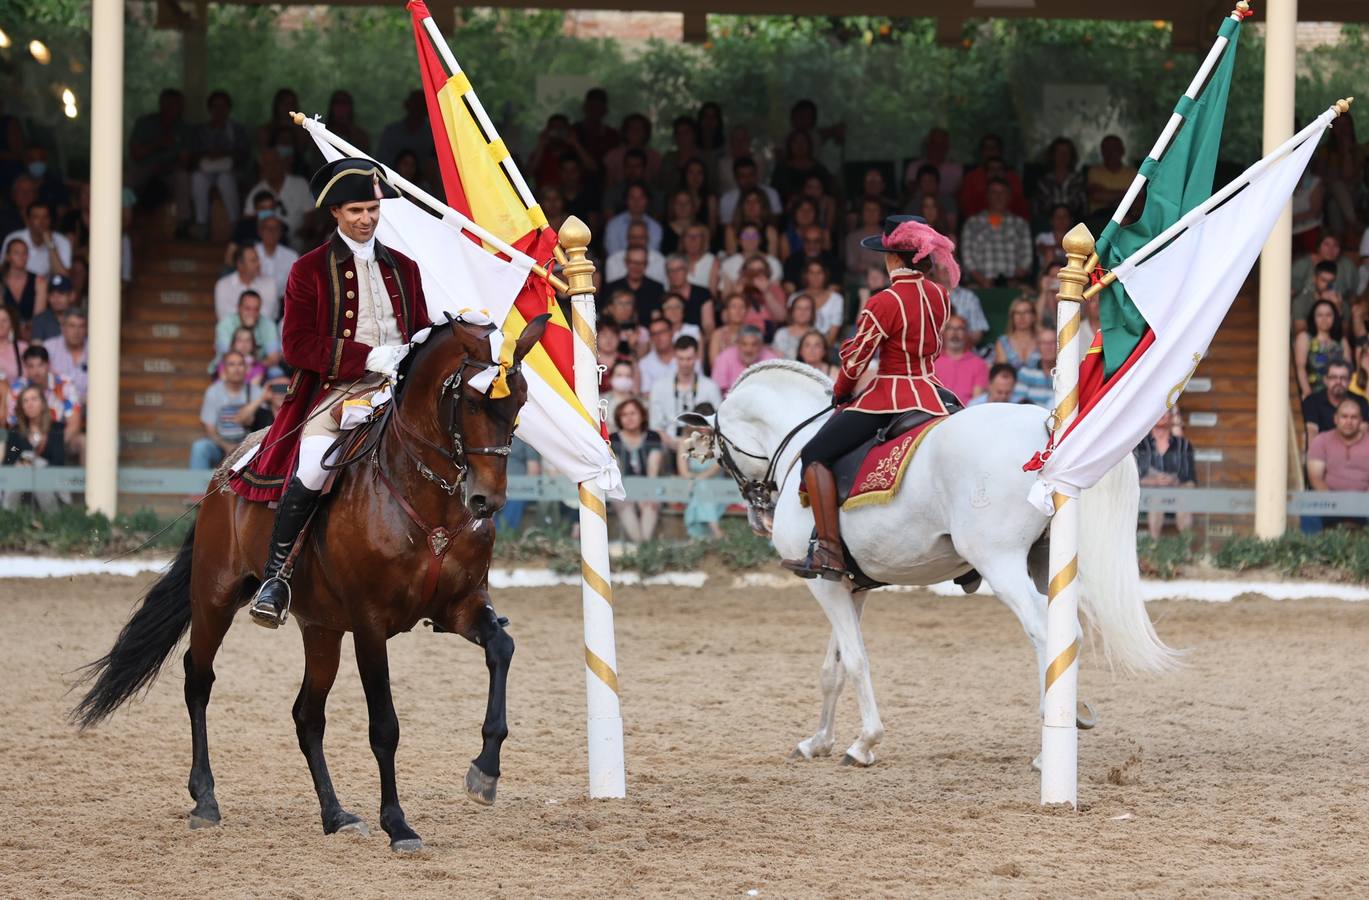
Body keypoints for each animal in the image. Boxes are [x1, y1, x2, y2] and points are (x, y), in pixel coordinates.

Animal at [73, 313, 550, 849]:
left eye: (521, 400)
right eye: (470, 401)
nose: (487, 501)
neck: (428, 498)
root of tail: (231, 464)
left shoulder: (462, 605)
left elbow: (502, 649)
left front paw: (484, 771)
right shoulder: (370, 625)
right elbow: (384, 725)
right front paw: (397, 823)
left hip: (321, 629)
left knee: (307, 715)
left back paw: (336, 815)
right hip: (216, 596)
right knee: (199, 678)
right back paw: (205, 798)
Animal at [684, 358, 1177, 767]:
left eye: (721, 452)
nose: (757, 514)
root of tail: (1047, 428)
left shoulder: (822, 584)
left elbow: (856, 661)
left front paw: (864, 743)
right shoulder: (847, 586)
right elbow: (833, 668)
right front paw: (817, 741)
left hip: (1001, 564)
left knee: (1045, 631)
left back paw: (1049, 747)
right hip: (1045, 566)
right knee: (1063, 635)